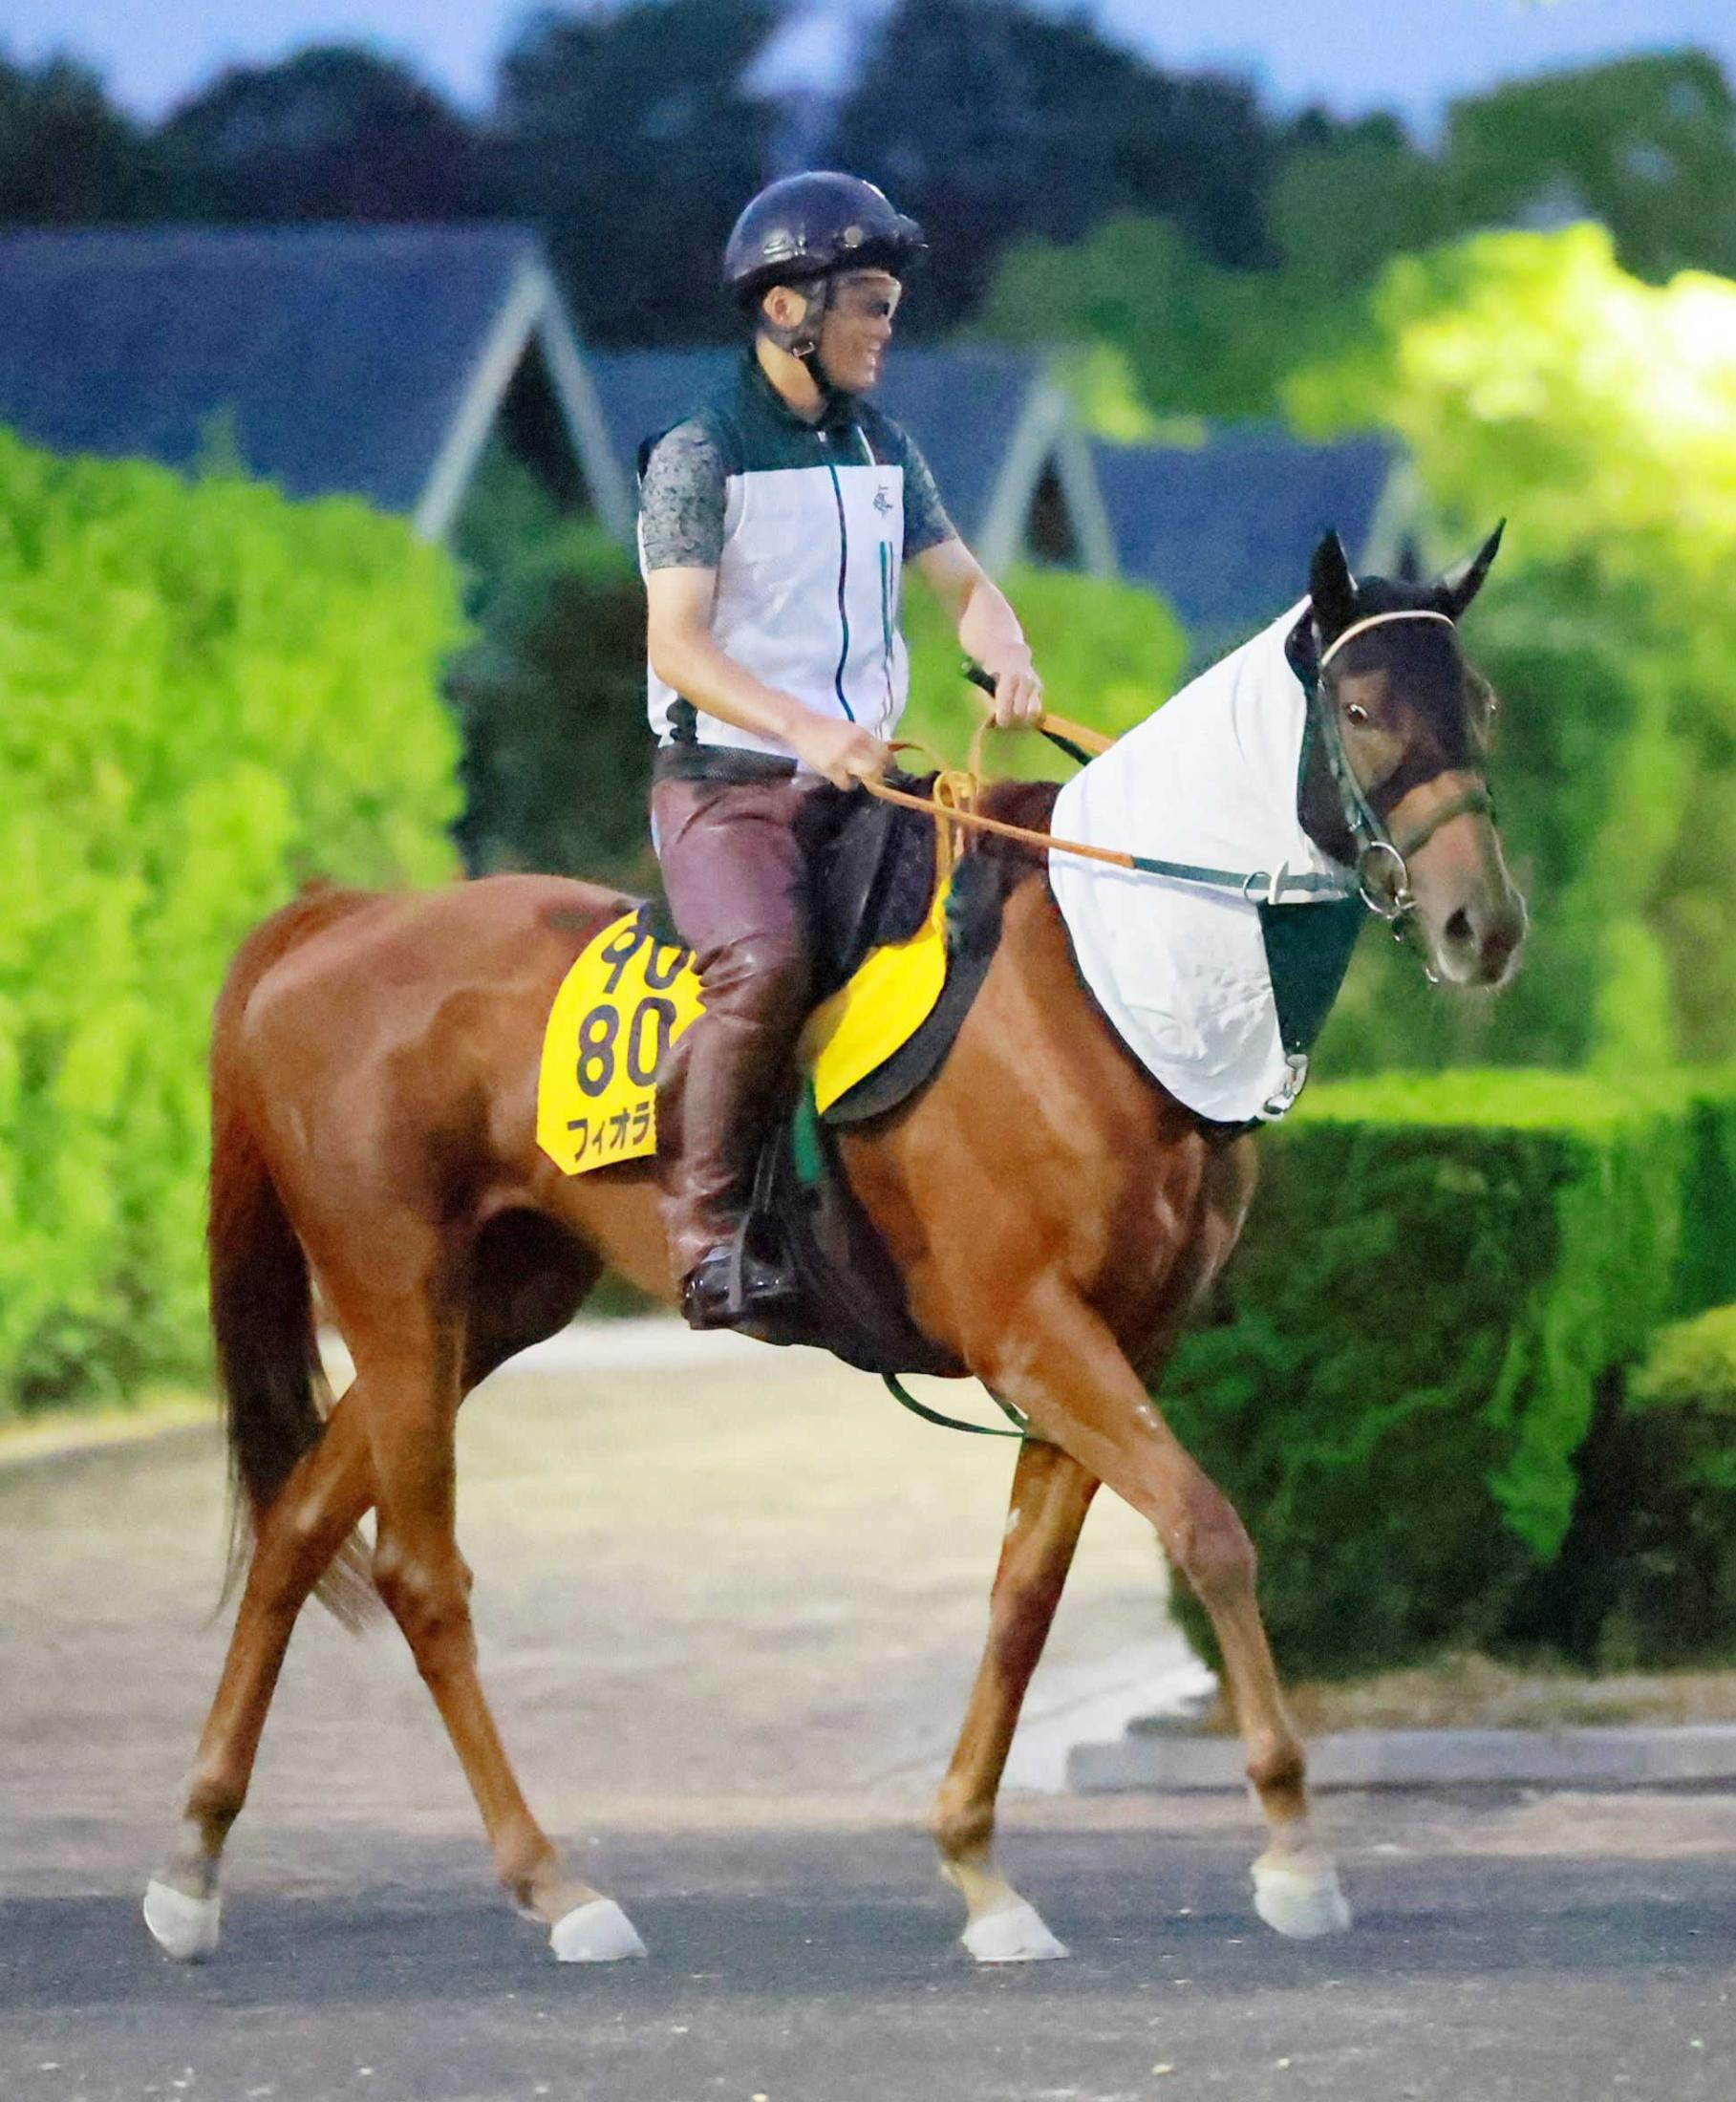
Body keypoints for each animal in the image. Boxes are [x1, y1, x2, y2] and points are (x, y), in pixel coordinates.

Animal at [143, 529, 1526, 1966]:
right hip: (399, 1294)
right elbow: (1208, 1531)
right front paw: (1292, 1846)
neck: (1102, 984)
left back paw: (193, 1861)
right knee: (419, 1575)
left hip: (489, 1306)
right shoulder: (1034, 1328)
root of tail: (337, 918)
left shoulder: (1106, 1343)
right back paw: (553, 1885)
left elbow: (1025, 1591)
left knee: (300, 1524)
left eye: (1476, 704)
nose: (1481, 926)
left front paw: (978, 1865)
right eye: (1359, 711)